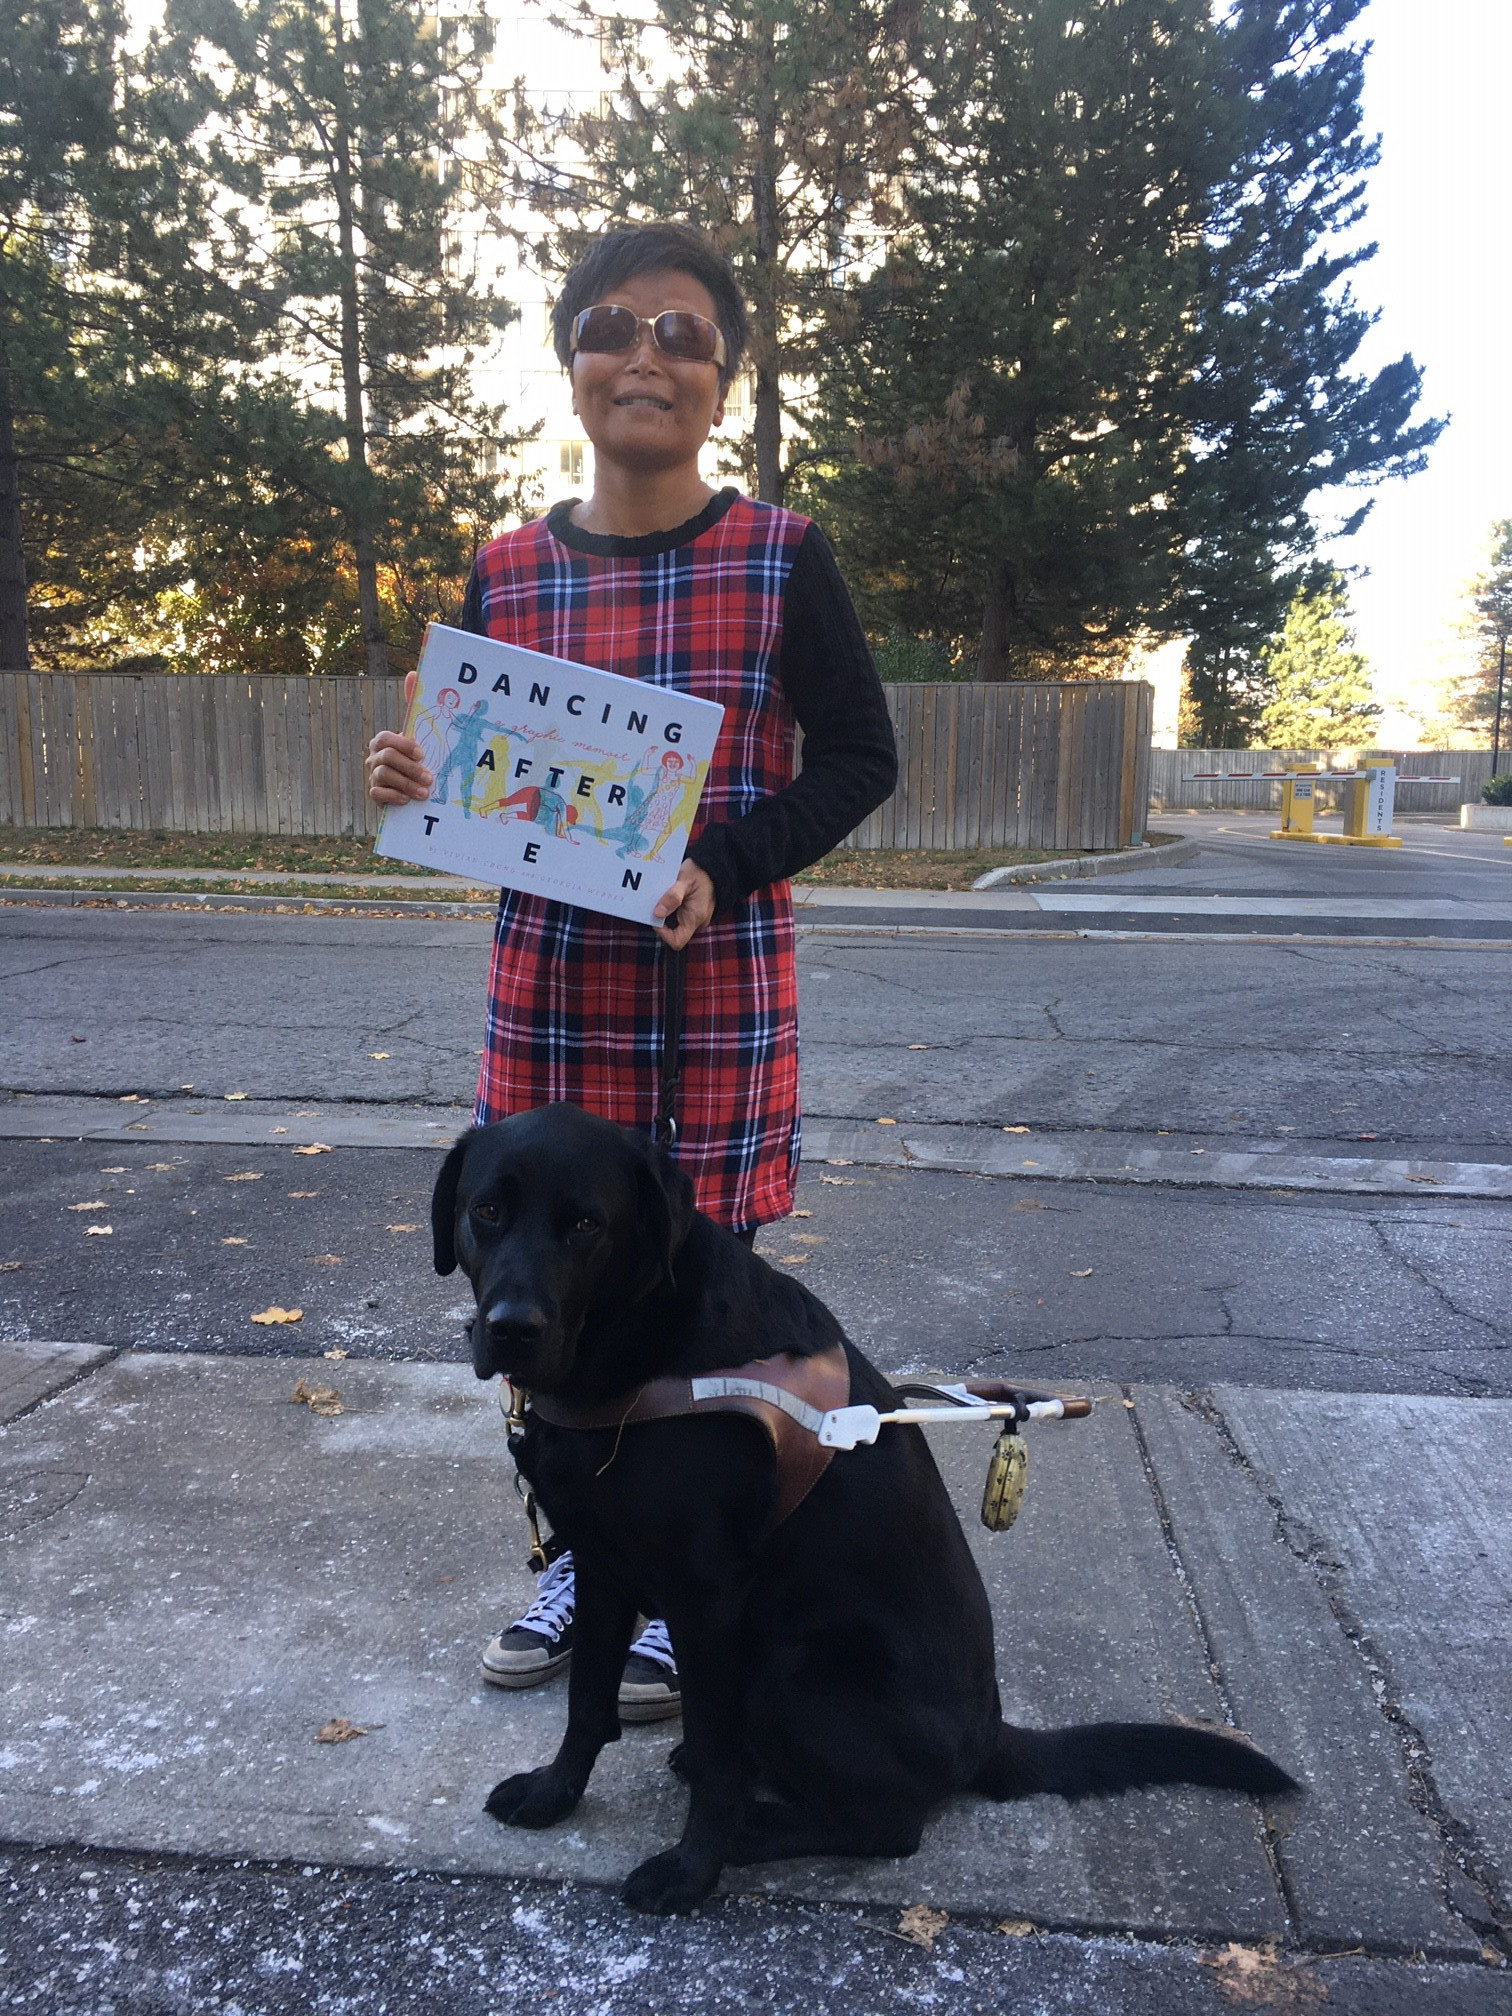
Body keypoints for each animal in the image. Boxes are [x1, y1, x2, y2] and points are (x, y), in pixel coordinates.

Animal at [431, 1112, 1298, 1911]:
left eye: (587, 1224)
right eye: (488, 1211)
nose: (511, 1328)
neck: (634, 1358)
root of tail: (989, 1734)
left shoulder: (707, 1598)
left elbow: (710, 1754)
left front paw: (691, 1870)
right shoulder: (602, 1566)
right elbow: (585, 1706)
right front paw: (553, 1796)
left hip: (785, 1667)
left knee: (889, 1827)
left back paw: (752, 1828)